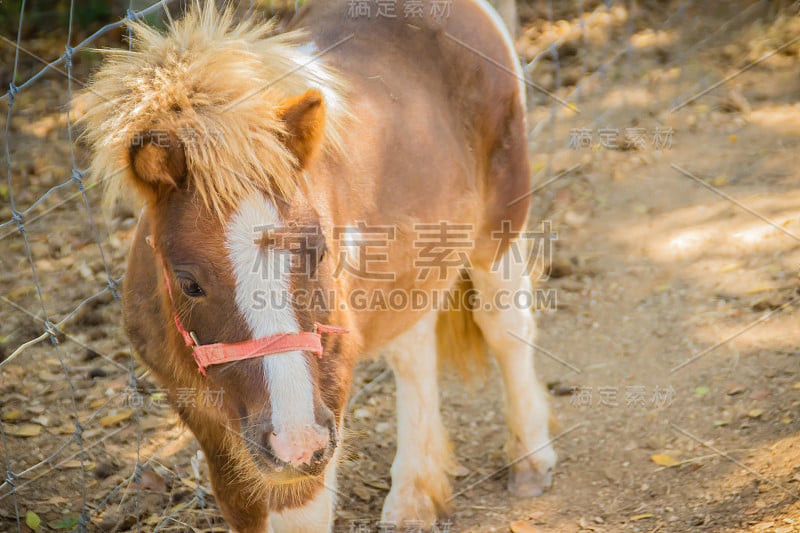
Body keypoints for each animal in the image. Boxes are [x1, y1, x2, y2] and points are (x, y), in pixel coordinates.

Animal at [79, 2, 556, 528]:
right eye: (187, 283)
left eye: (321, 252)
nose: (295, 438)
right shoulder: (206, 423)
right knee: (413, 349)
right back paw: (413, 496)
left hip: (500, 228)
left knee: (505, 326)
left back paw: (530, 461)